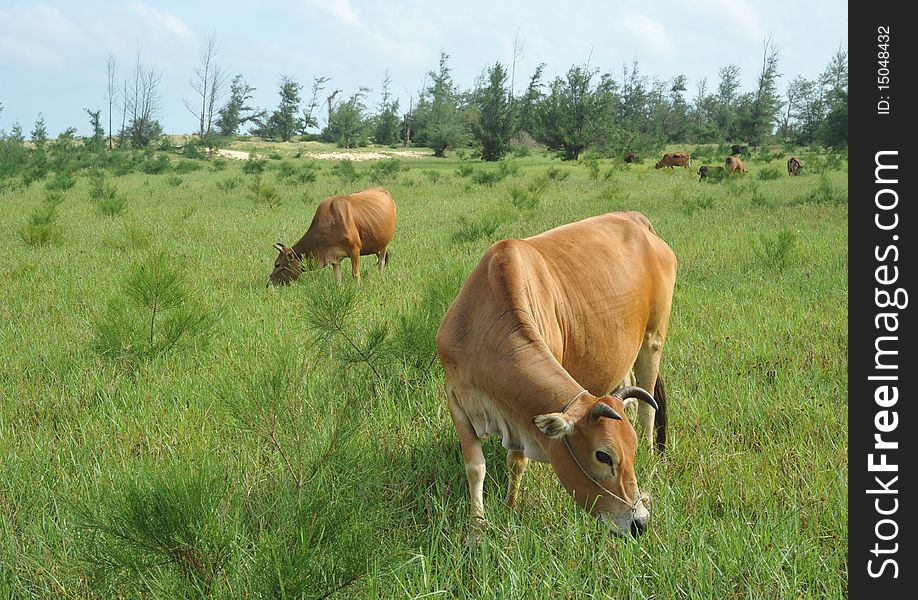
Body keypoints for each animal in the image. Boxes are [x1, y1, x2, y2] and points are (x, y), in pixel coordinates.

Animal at [266, 186, 396, 284]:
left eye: (277, 264)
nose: (269, 284)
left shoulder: (354, 251)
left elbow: (355, 274)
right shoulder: (334, 258)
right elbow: (337, 279)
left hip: (385, 244)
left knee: (381, 262)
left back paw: (381, 278)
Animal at [438, 212, 676, 540]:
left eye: (631, 450)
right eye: (603, 455)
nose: (639, 521)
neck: (483, 325)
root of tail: (636, 220)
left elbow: (516, 461)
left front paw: (510, 506)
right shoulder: (457, 401)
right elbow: (475, 467)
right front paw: (477, 526)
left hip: (653, 340)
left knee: (647, 408)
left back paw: (653, 457)